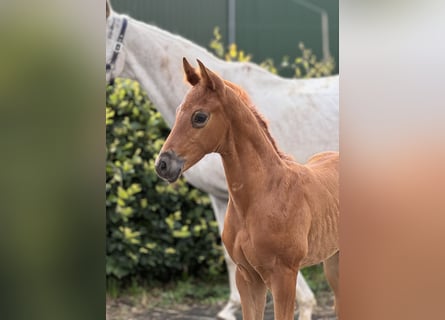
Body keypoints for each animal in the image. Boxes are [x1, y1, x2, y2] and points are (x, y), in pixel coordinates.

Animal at [154, 58, 338, 318]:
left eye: (199, 117)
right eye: (179, 110)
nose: (163, 165)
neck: (264, 194)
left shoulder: (284, 276)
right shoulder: (247, 276)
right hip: (333, 260)